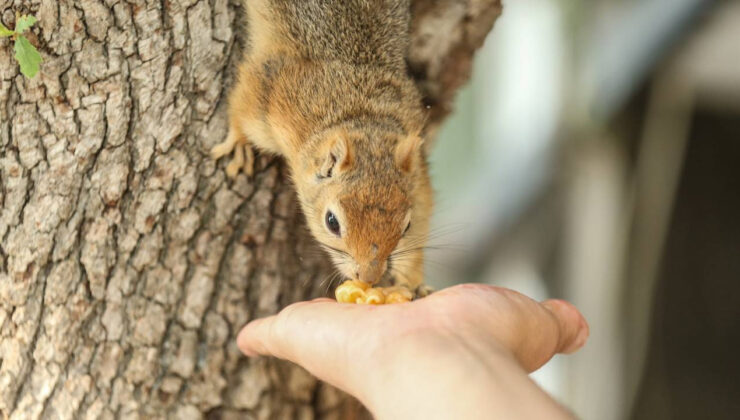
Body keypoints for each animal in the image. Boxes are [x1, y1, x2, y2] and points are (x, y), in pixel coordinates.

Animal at [211, 0, 434, 296]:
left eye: (406, 226)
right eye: (332, 222)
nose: (368, 277)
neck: (360, 115)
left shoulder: (416, 170)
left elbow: (423, 206)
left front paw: (414, 281)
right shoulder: (275, 92)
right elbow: (243, 106)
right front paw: (238, 142)